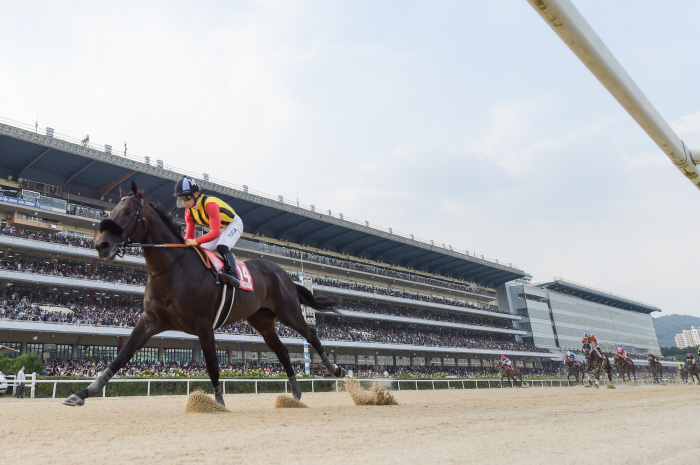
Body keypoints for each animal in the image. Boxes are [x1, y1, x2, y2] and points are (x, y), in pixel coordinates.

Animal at [64, 181, 344, 406]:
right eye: (111, 212)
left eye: (129, 212)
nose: (102, 245)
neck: (173, 268)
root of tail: (283, 272)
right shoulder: (150, 321)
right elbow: (121, 357)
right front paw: (83, 393)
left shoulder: (204, 324)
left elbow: (212, 365)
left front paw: (219, 404)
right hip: (262, 321)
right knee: (283, 352)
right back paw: (295, 394)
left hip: (288, 311)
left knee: (311, 334)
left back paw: (335, 369)